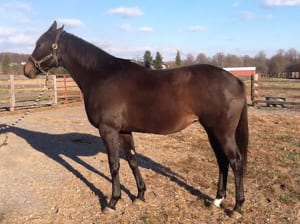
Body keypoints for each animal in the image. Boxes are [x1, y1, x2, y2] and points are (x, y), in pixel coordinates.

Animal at [24, 21, 248, 215]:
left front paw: (112, 202)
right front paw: (140, 195)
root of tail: (235, 80)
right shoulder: (124, 130)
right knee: (222, 161)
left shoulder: (108, 130)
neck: (102, 76)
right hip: (212, 131)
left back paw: (237, 207)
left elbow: (114, 165)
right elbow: (132, 160)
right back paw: (216, 200)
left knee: (235, 161)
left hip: (221, 132)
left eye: (40, 43)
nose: (26, 70)